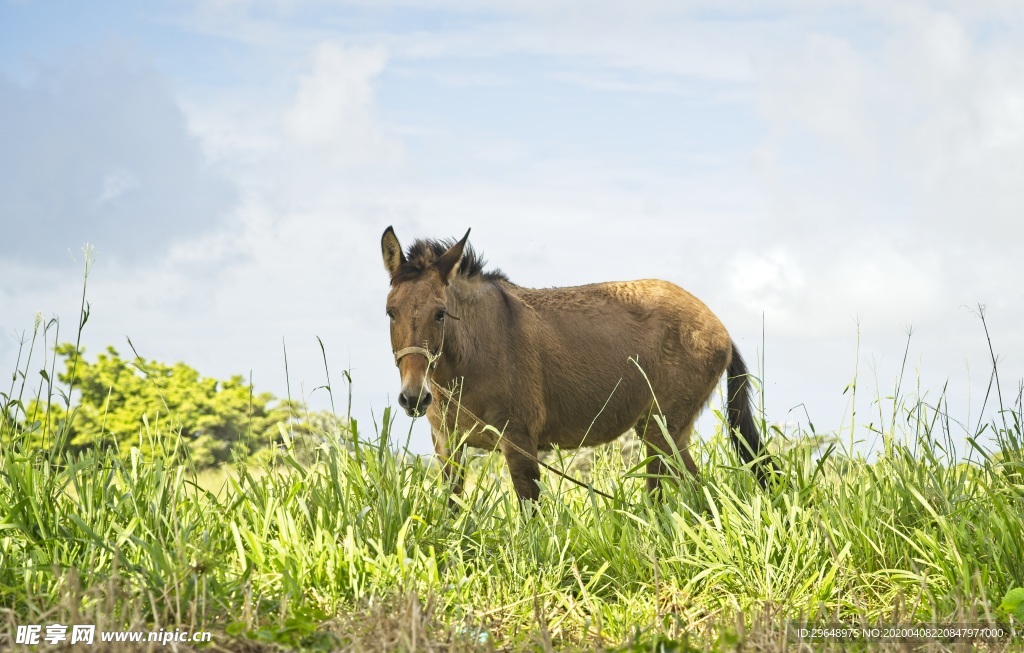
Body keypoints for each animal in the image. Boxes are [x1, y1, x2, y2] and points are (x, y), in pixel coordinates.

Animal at [382, 225, 770, 501]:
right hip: (660, 434)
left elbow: (530, 515)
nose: (414, 398)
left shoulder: (519, 441)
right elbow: (453, 511)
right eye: (390, 312)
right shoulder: (448, 446)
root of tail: (720, 327)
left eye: (440, 313)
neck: (470, 358)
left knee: (700, 493)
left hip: (664, 431)